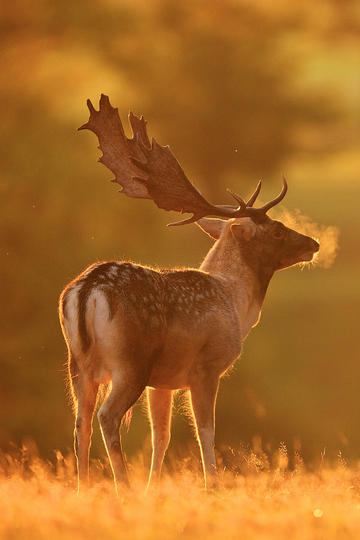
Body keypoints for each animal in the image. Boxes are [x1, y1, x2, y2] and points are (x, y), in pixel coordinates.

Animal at [59, 94, 320, 494]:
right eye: (276, 230)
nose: (314, 243)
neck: (235, 303)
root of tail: (86, 289)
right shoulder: (206, 367)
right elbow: (205, 431)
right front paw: (212, 486)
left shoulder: (163, 383)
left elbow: (161, 437)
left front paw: (153, 488)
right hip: (130, 363)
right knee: (107, 417)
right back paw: (123, 488)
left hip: (79, 365)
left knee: (80, 424)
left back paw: (84, 490)